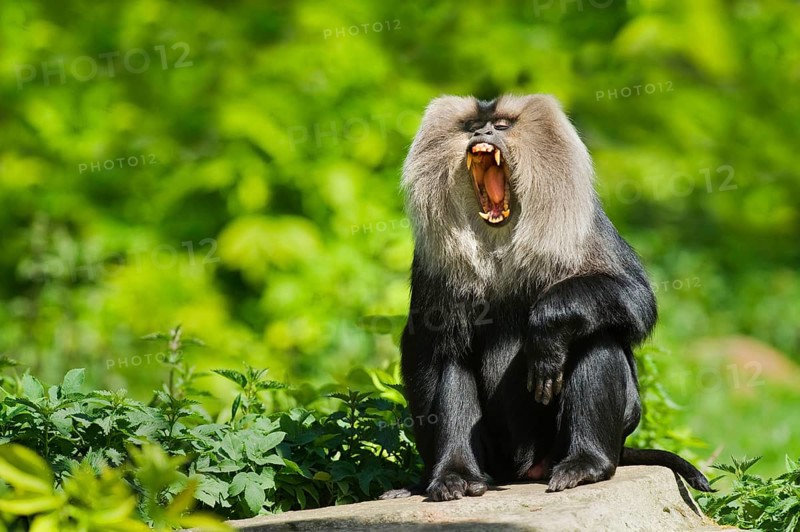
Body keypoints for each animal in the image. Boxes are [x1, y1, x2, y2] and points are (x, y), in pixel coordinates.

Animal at [380, 94, 712, 501]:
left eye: (501, 125)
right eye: (472, 125)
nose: (482, 134)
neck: (499, 243)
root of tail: (525, 471)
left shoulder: (586, 227)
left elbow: (635, 298)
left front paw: (547, 330)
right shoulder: (432, 262)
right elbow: (427, 347)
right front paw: (425, 479)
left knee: (597, 335)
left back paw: (586, 465)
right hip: (497, 460)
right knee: (454, 355)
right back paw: (457, 476)